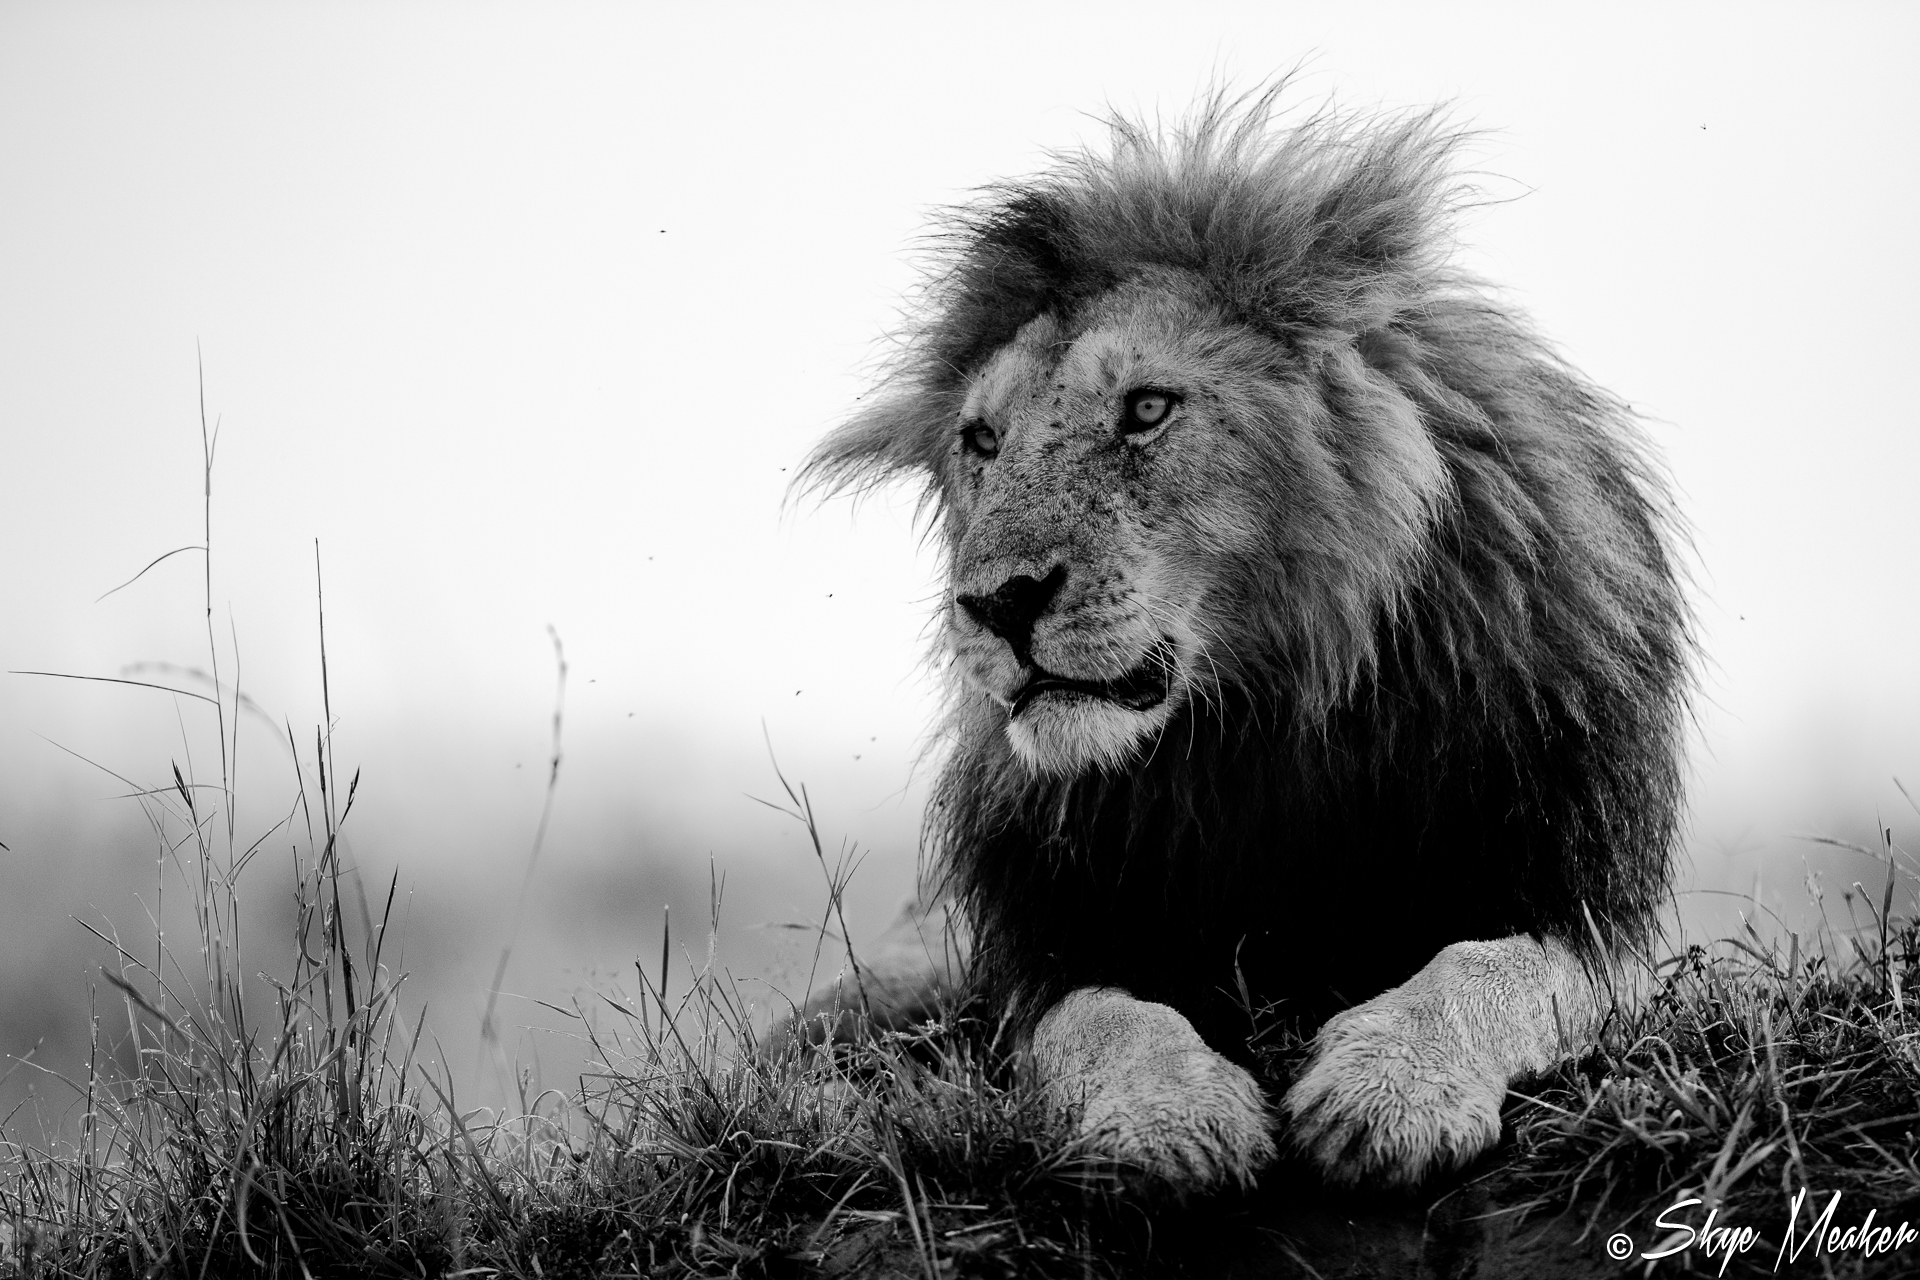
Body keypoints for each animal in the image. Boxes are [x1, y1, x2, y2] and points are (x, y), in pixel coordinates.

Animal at [801, 91, 1691, 1191]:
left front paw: (1386, 1096)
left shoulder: (1586, 910)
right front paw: (1173, 1119)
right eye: (982, 441)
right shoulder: (1046, 958)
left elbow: (1484, 968)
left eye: (1147, 408)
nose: (998, 603)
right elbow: (1109, 1022)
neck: (1262, 713)